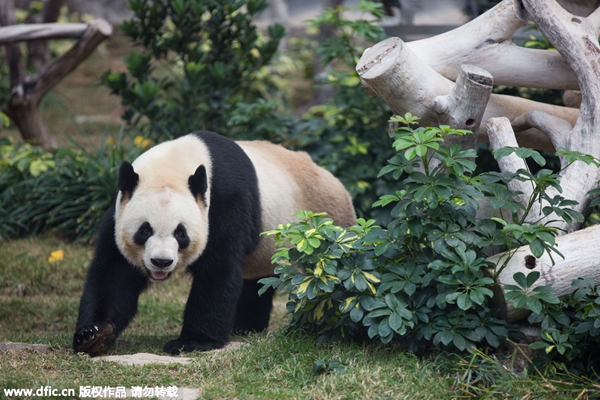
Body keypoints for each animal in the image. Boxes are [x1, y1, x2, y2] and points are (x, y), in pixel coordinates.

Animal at [74, 130, 356, 354]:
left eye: (180, 233)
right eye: (145, 230)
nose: (161, 262)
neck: (175, 165)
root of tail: (339, 184)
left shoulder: (224, 203)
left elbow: (217, 270)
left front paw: (191, 342)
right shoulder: (118, 212)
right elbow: (115, 273)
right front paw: (94, 334)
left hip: (324, 229)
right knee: (257, 281)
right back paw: (246, 326)